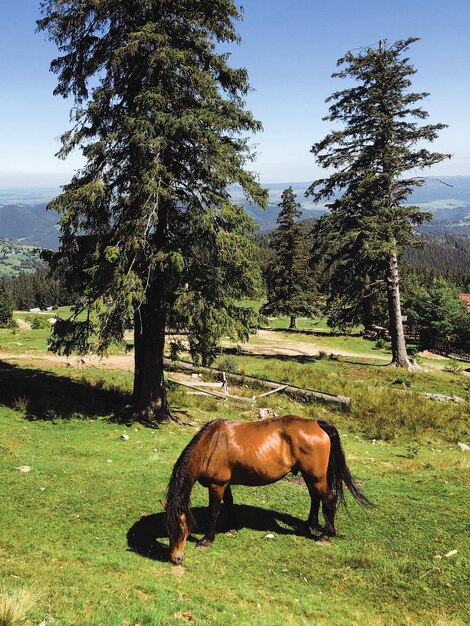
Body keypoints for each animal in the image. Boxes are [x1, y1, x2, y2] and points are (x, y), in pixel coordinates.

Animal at [165, 412, 370, 564]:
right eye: (168, 527)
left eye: (181, 526)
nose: (176, 558)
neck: (211, 444)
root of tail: (316, 423)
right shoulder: (226, 484)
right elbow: (229, 503)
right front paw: (232, 527)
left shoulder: (217, 485)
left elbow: (213, 511)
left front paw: (207, 540)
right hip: (309, 476)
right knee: (315, 498)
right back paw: (308, 525)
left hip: (316, 477)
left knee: (328, 499)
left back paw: (326, 535)